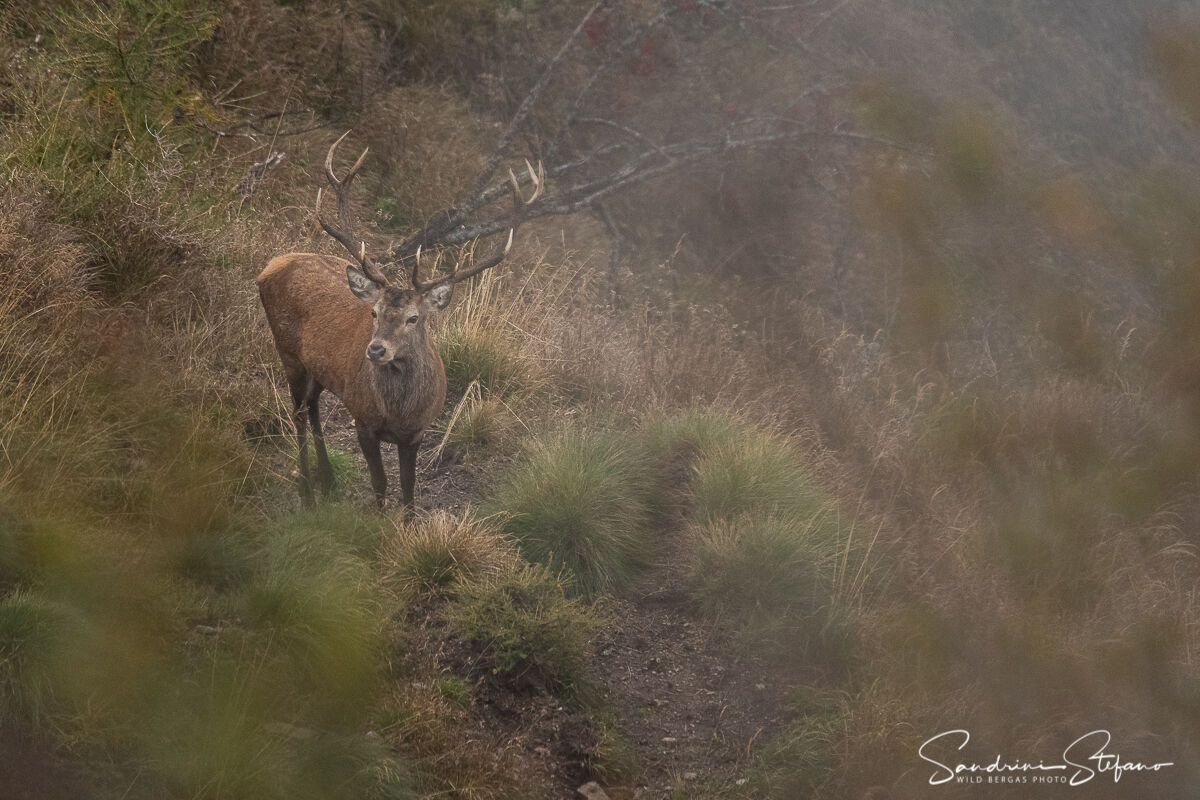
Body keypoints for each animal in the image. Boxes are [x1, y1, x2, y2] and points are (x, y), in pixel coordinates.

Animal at [257, 132, 541, 512]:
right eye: (374, 313)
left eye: (414, 318)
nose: (376, 350)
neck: (398, 414)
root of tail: (271, 265)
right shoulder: (362, 420)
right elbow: (380, 484)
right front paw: (378, 525)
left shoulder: (417, 433)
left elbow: (408, 490)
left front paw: (406, 523)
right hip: (286, 350)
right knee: (299, 412)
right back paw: (306, 491)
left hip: (318, 367)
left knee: (313, 405)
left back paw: (327, 480)